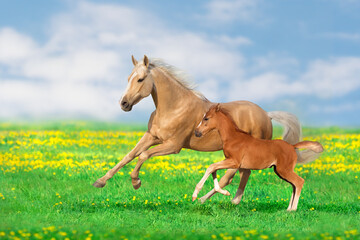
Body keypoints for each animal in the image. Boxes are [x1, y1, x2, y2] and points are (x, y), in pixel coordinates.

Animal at [93, 55, 320, 202]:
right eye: (128, 78)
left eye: (140, 79)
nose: (124, 104)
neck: (174, 107)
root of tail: (267, 114)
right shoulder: (151, 136)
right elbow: (129, 155)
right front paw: (100, 182)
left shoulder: (173, 146)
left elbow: (143, 156)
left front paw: (136, 182)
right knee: (239, 173)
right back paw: (226, 199)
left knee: (233, 174)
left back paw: (211, 199)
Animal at [191, 104, 324, 211]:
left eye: (206, 118)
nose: (197, 132)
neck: (233, 137)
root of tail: (292, 146)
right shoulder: (228, 160)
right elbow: (213, 169)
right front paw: (224, 192)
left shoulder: (234, 162)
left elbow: (211, 167)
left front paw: (195, 195)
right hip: (280, 170)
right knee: (294, 184)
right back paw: (288, 209)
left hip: (284, 170)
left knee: (299, 182)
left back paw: (293, 209)